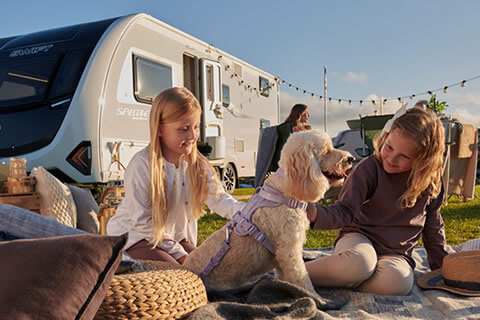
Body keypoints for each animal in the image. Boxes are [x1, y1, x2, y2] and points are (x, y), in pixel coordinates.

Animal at [184, 129, 352, 294]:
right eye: (326, 151)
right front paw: (317, 298)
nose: (351, 159)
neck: (287, 189)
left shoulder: (281, 259)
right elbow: (303, 280)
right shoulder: (289, 251)